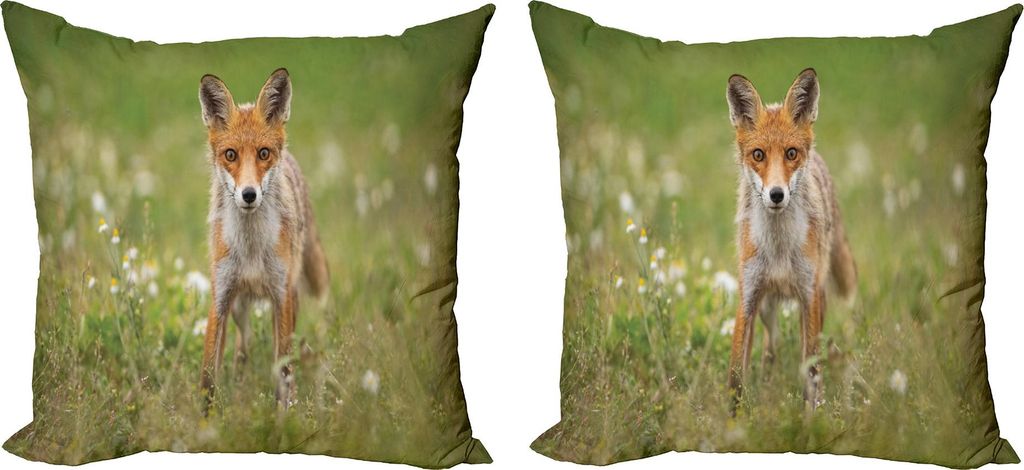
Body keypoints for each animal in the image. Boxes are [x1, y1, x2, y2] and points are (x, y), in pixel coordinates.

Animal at [197, 68, 329, 412]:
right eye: (230, 154)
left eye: (263, 154)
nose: (248, 194)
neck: (251, 248)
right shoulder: (221, 296)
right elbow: (208, 374)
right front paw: (203, 419)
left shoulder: (281, 296)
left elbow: (283, 370)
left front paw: (284, 416)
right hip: (241, 308)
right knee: (242, 349)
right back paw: (240, 383)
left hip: (292, 295)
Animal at [724, 68, 856, 414]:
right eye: (758, 155)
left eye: (791, 154)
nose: (776, 194)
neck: (779, 248)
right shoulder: (748, 296)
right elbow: (736, 374)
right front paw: (732, 420)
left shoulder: (809, 297)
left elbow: (811, 371)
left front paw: (812, 417)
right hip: (768, 308)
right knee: (770, 348)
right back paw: (767, 382)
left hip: (815, 298)